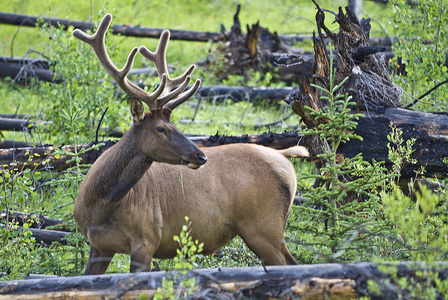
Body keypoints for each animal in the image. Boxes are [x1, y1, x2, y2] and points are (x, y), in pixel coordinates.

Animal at [73, 14, 310, 276]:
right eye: (162, 128)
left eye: (175, 126)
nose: (201, 156)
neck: (101, 206)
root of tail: (286, 158)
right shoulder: (99, 245)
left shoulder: (146, 240)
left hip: (263, 227)